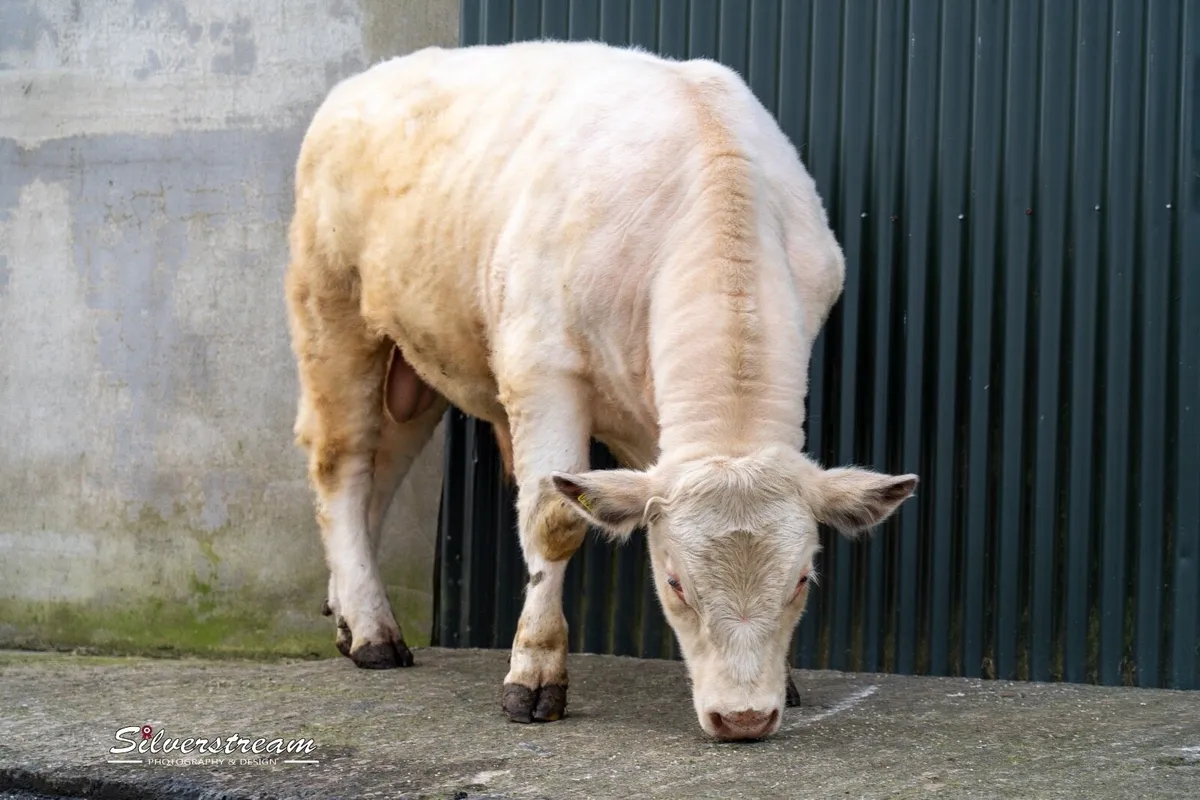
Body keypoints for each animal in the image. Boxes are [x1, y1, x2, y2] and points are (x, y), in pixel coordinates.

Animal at [284, 39, 918, 741]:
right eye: (675, 583)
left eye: (802, 580)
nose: (745, 718)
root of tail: (364, 81)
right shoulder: (542, 367)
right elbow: (556, 521)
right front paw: (534, 674)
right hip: (332, 309)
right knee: (343, 464)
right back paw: (373, 634)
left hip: (417, 361)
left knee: (382, 472)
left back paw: (349, 613)